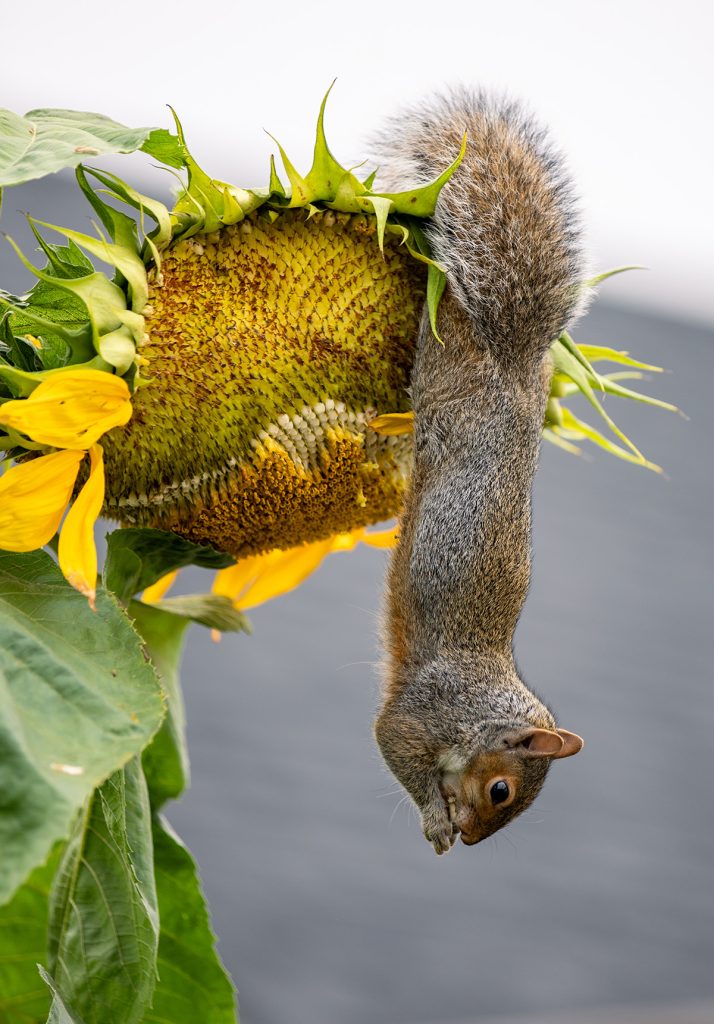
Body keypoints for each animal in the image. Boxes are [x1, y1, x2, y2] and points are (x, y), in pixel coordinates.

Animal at [370, 90, 586, 855]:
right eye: (501, 791)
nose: (468, 839)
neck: (482, 708)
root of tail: (516, 355)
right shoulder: (422, 712)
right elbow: (393, 742)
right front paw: (433, 817)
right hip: (446, 371)